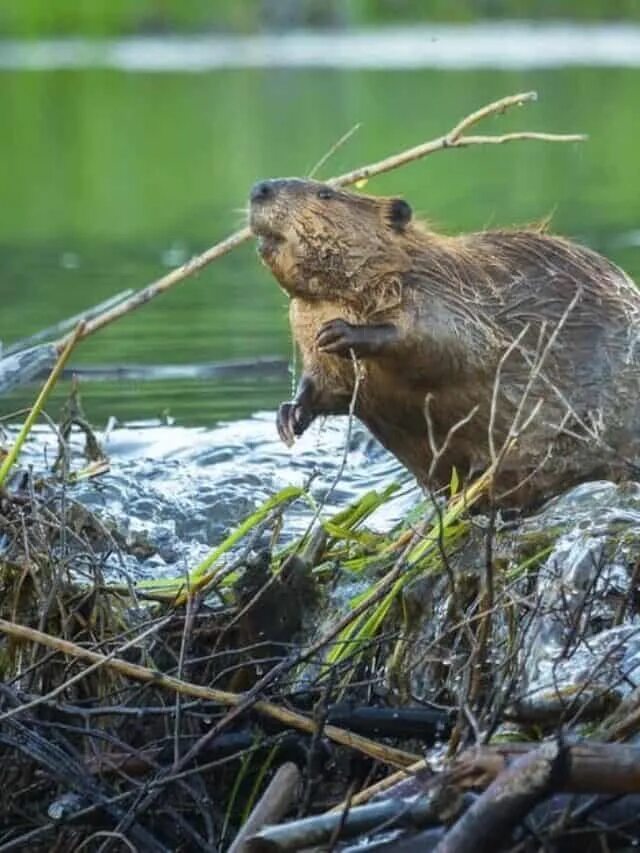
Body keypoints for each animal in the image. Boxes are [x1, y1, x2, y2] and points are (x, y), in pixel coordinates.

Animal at [249, 176, 640, 502]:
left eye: (325, 194)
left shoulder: (444, 293)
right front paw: (289, 416)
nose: (260, 189)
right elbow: (326, 385)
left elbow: (445, 342)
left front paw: (340, 332)